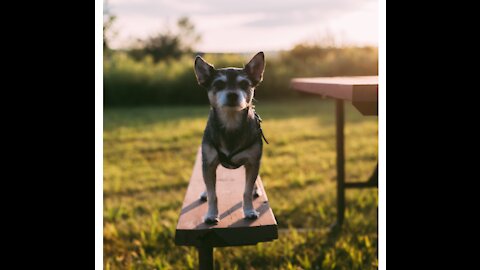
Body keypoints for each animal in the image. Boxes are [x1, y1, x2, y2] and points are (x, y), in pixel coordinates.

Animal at [196, 52, 270, 224]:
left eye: (244, 84)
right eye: (218, 85)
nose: (232, 95)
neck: (231, 124)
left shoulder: (253, 162)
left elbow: (247, 191)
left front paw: (249, 211)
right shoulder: (209, 163)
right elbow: (212, 194)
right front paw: (211, 214)